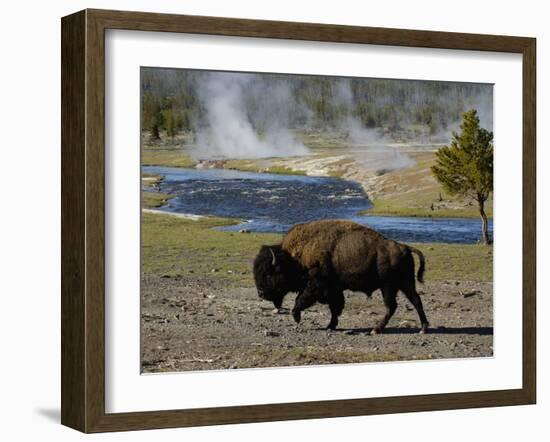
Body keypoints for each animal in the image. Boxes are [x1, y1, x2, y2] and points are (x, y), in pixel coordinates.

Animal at [254, 219, 432, 334]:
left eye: (269, 273)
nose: (261, 294)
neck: (292, 259)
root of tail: (405, 247)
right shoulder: (333, 289)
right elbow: (335, 307)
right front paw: (330, 326)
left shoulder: (316, 285)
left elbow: (302, 299)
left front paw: (296, 317)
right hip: (405, 283)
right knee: (416, 300)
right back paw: (423, 328)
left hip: (388, 286)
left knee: (392, 306)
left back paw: (376, 329)